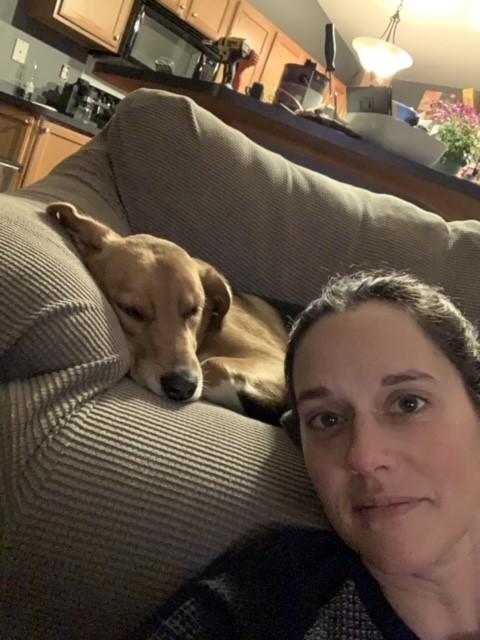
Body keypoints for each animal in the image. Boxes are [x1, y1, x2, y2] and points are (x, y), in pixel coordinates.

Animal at [47, 201, 288, 420]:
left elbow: (212, 364)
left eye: (194, 309)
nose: (183, 386)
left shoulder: (273, 359)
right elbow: (210, 367)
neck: (205, 337)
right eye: (131, 310)